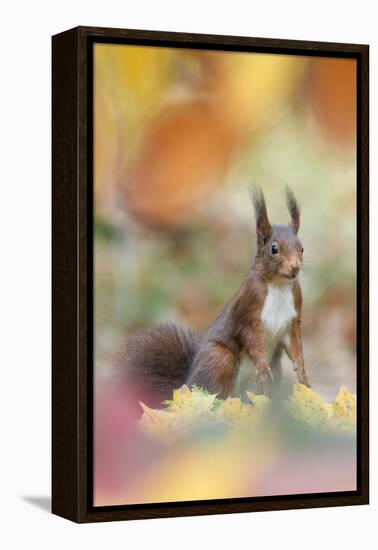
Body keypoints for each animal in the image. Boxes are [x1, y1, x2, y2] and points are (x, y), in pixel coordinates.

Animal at [120, 190, 310, 410]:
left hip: (273, 370)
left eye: (302, 249)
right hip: (220, 358)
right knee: (216, 390)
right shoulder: (249, 309)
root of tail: (186, 386)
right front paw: (262, 368)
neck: (278, 286)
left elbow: (294, 345)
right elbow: (251, 339)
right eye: (274, 249)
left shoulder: (292, 318)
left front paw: (303, 373)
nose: (295, 268)